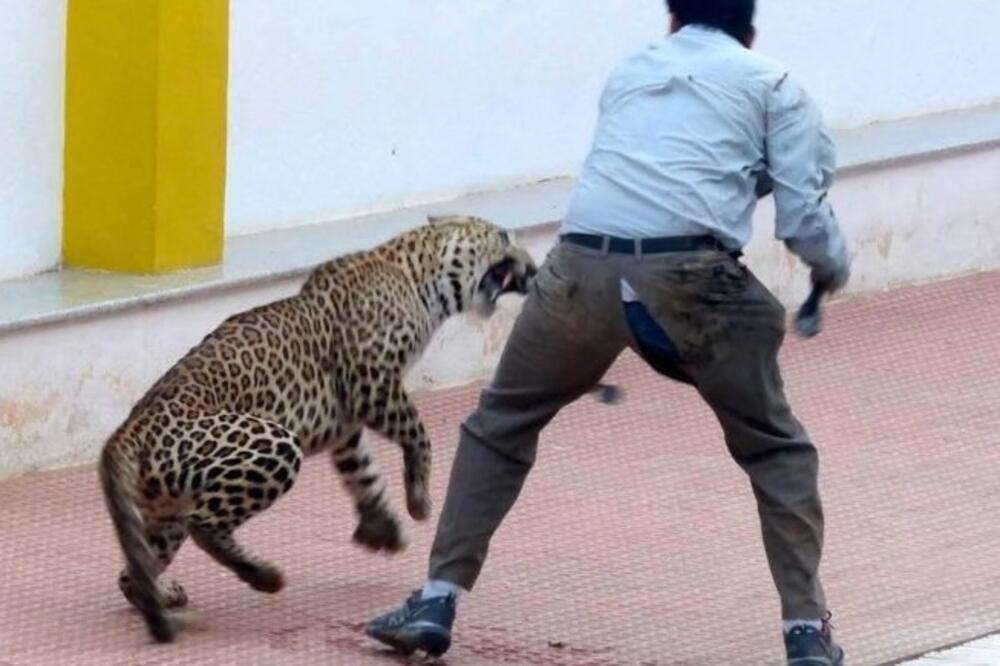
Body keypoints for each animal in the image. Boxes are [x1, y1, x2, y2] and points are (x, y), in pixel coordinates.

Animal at [98, 215, 537, 643]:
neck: (417, 276)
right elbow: (418, 433)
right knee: (204, 524)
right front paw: (419, 501)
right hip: (273, 445)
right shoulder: (372, 384)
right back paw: (265, 576)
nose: (533, 269)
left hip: (166, 508)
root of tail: (127, 431)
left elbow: (363, 472)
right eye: (503, 236)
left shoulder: (345, 424)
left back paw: (162, 593)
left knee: (134, 571)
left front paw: (382, 527)